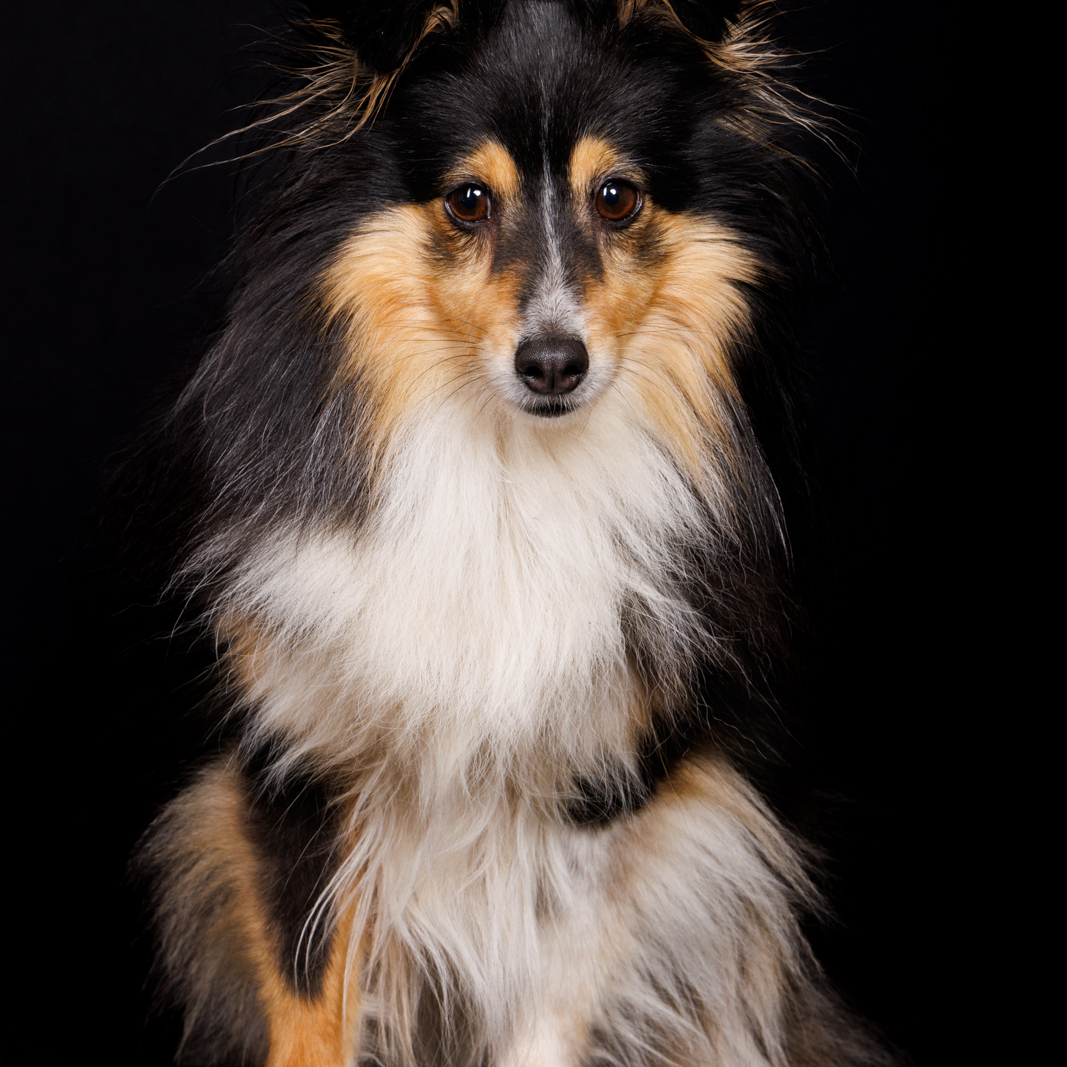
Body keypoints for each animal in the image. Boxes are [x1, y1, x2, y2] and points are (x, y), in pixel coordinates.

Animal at [138, 1, 894, 1063]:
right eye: (466, 200)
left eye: (617, 198)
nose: (552, 363)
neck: (508, 471)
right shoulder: (295, 760)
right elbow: (308, 997)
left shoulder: (604, 795)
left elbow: (546, 1002)